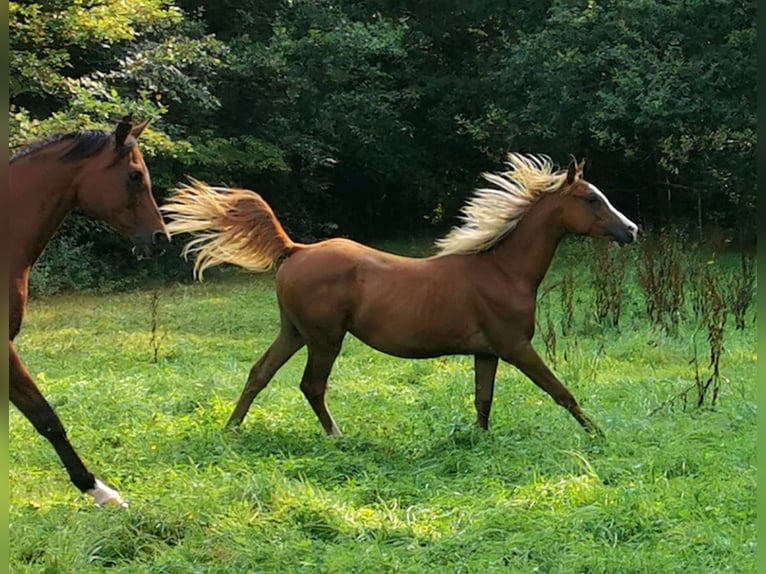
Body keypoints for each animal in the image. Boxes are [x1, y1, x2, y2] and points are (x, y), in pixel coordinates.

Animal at [165, 155, 640, 438]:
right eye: (591, 198)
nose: (631, 230)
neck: (503, 271)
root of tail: (295, 249)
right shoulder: (515, 346)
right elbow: (561, 391)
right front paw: (598, 434)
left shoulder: (487, 352)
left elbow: (483, 401)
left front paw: (480, 441)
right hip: (324, 338)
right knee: (311, 385)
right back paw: (337, 437)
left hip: (294, 332)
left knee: (259, 373)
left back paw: (230, 430)